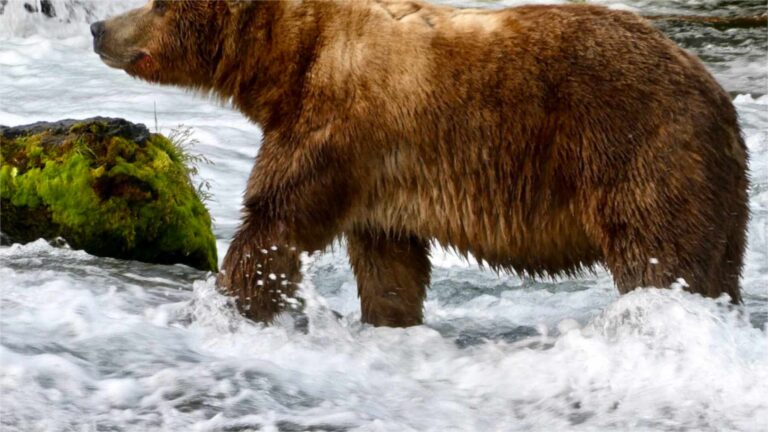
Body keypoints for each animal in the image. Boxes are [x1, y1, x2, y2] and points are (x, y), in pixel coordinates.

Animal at [93, 0, 749, 327]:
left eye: (158, 2)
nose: (98, 25)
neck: (293, 58)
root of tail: (720, 99)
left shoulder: (337, 126)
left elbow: (276, 220)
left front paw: (229, 303)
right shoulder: (379, 177)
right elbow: (388, 263)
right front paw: (391, 320)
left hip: (640, 152)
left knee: (659, 260)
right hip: (719, 193)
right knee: (717, 270)